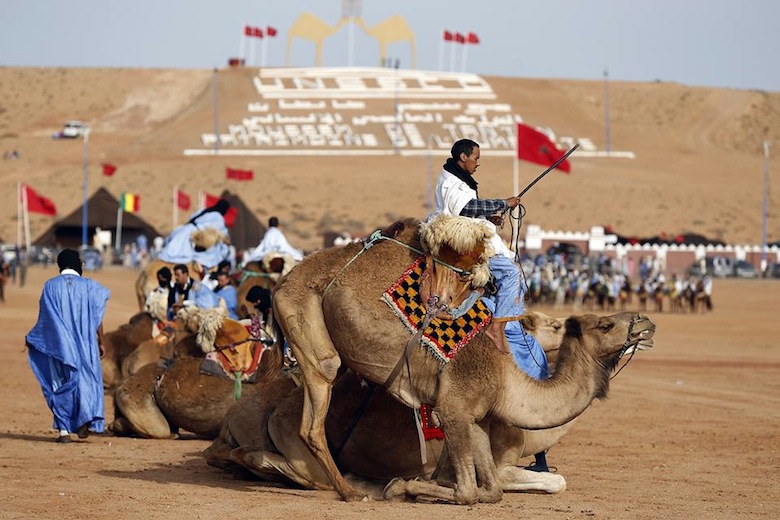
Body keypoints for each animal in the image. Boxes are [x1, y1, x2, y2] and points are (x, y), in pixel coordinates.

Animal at [272, 216, 656, 504]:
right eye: (606, 325)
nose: (645, 323)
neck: (508, 375)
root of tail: (283, 280)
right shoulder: (452, 409)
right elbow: (470, 492)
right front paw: (405, 486)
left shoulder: (479, 418)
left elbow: (492, 490)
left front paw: (412, 486)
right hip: (306, 323)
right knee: (314, 415)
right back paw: (352, 492)